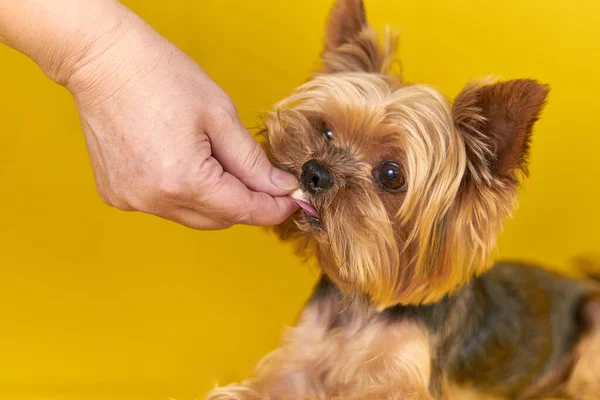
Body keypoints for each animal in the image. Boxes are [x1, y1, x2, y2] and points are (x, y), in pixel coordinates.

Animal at [206, 1, 600, 398]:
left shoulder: (402, 381)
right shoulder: (300, 362)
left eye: (392, 175)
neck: (360, 308)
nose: (313, 172)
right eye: (327, 131)